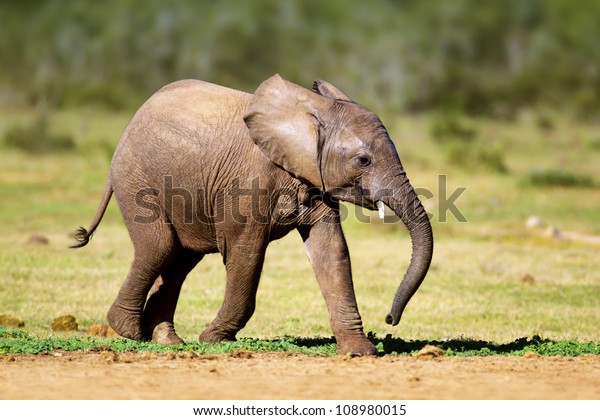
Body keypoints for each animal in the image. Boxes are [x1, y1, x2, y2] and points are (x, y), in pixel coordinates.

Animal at [72, 74, 434, 354]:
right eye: (363, 160)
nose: (390, 319)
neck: (311, 112)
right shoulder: (248, 183)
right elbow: (245, 252)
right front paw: (214, 339)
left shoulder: (312, 176)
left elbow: (331, 250)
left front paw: (359, 352)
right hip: (136, 178)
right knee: (159, 246)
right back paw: (128, 331)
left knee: (180, 259)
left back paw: (167, 341)